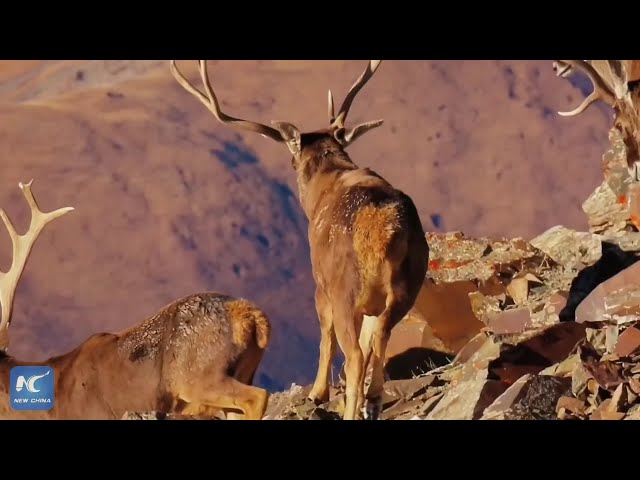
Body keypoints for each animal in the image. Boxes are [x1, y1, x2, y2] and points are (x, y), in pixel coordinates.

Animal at [171, 60, 430, 420]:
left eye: (292, 159)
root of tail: (383, 231)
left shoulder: (319, 283)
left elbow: (324, 337)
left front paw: (318, 393)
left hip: (344, 290)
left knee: (353, 354)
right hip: (409, 283)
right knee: (379, 336)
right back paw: (374, 400)